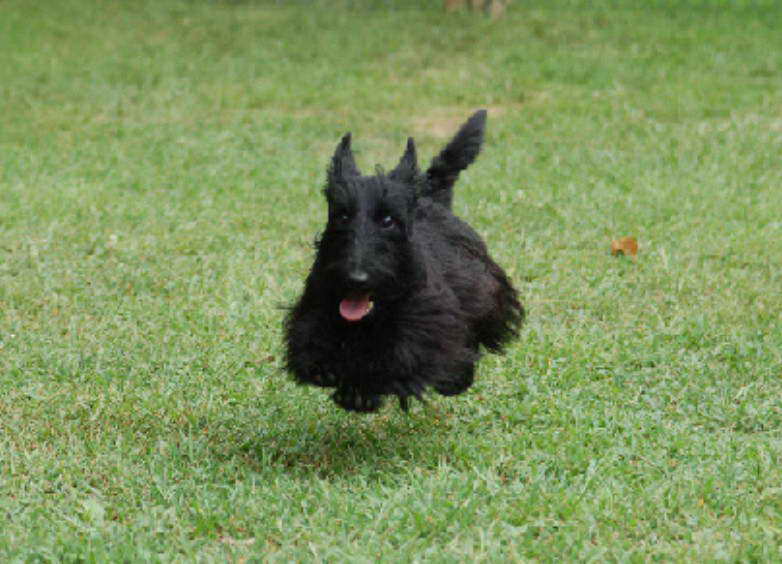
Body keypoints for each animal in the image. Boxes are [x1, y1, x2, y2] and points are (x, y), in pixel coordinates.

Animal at [284, 110, 524, 412]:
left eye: (388, 220)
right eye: (343, 215)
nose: (355, 279)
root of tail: (430, 197)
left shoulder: (426, 329)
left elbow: (400, 359)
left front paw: (359, 390)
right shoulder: (312, 310)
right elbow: (312, 343)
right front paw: (328, 370)